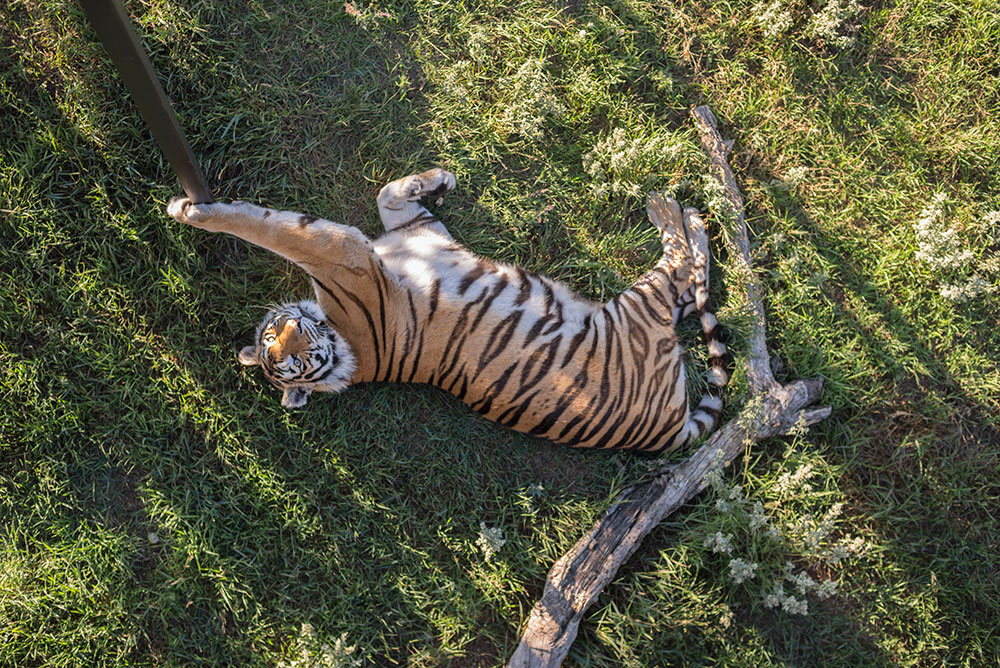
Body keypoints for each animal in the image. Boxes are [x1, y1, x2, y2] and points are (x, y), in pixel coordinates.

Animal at [164, 168, 728, 454]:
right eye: (287, 362)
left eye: (279, 341)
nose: (292, 339)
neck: (340, 343)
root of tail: (669, 432)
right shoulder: (346, 253)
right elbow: (268, 227)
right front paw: (191, 211)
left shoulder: (409, 235)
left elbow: (387, 194)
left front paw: (439, 178)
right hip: (635, 311)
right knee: (681, 270)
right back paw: (675, 211)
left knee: (691, 278)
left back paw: (692, 217)